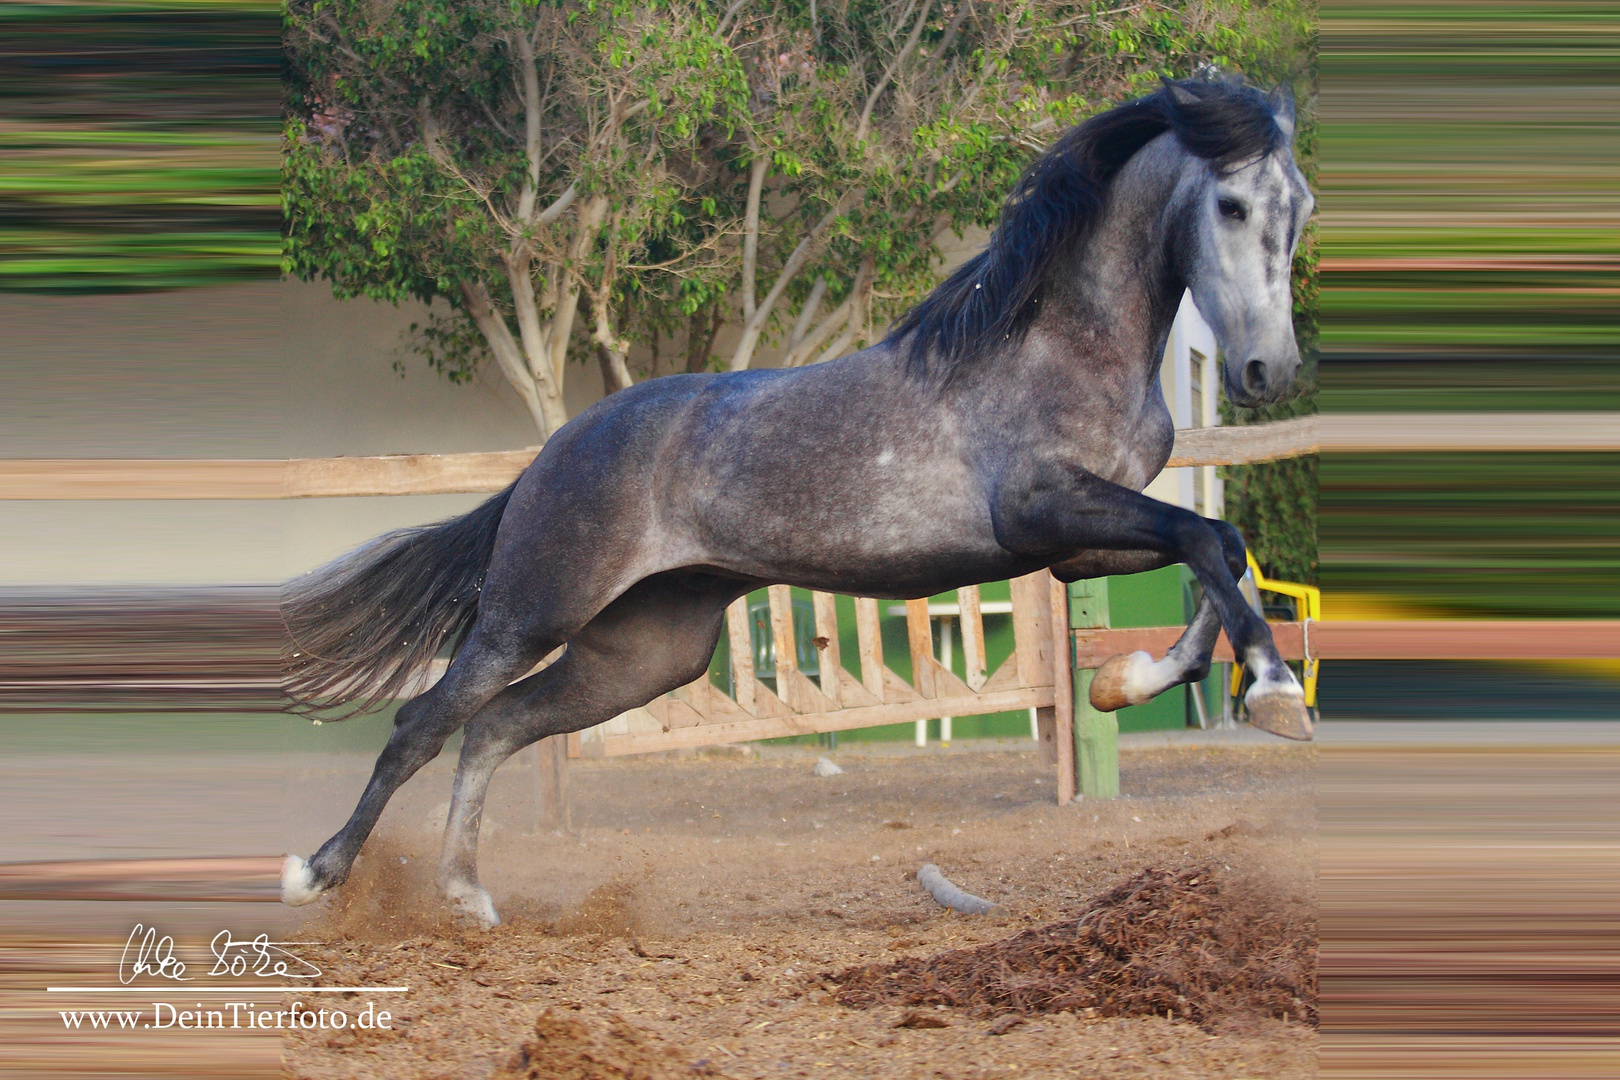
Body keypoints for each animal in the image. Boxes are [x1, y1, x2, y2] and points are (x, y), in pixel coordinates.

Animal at [281, 76, 1315, 926]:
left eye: (1299, 208)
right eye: (1230, 205)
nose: (1268, 371)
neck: (1063, 343)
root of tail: (548, 458)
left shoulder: (1076, 548)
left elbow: (1219, 545)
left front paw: (1133, 680)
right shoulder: (1042, 510)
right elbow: (1205, 540)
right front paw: (1274, 695)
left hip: (646, 652)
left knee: (494, 726)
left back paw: (466, 895)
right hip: (531, 612)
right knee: (423, 724)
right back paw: (317, 874)